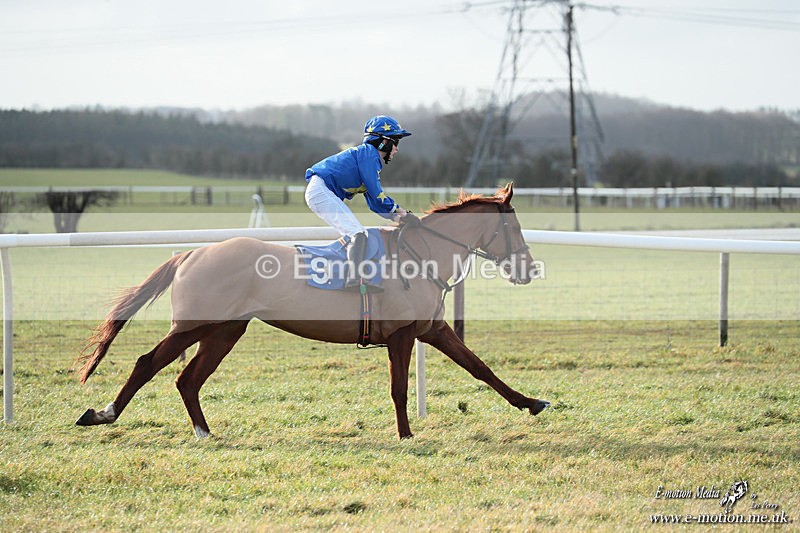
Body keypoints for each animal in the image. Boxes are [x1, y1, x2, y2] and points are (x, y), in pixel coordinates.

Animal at [75, 183, 549, 439]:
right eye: (514, 226)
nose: (528, 269)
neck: (423, 255)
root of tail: (191, 254)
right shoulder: (401, 335)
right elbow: (398, 388)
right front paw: (406, 433)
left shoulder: (431, 329)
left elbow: (481, 367)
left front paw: (531, 403)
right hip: (197, 324)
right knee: (148, 362)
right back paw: (102, 413)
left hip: (225, 331)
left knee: (187, 378)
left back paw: (204, 431)